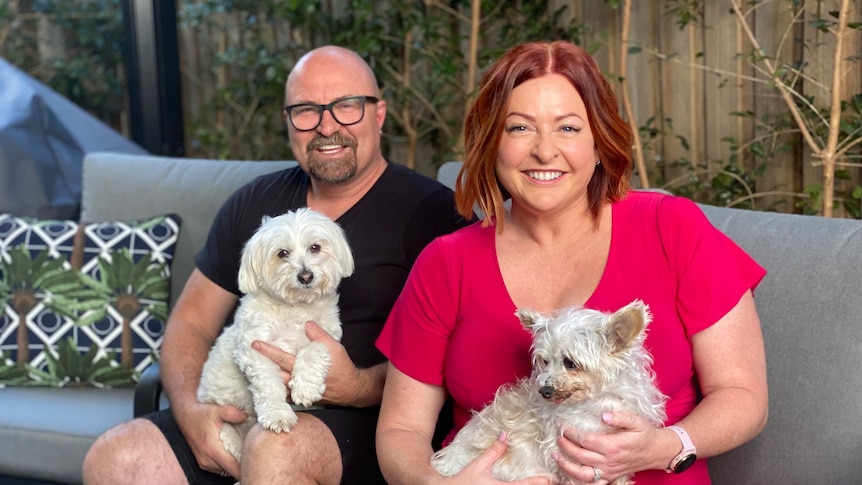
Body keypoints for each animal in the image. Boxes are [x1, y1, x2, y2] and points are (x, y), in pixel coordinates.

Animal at [197, 206, 354, 460]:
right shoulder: (254, 350)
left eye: (315, 247)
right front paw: (278, 414)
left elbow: (313, 353)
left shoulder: (326, 337)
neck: (296, 307)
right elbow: (268, 385)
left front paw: (305, 388)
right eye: (282, 253)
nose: (305, 276)